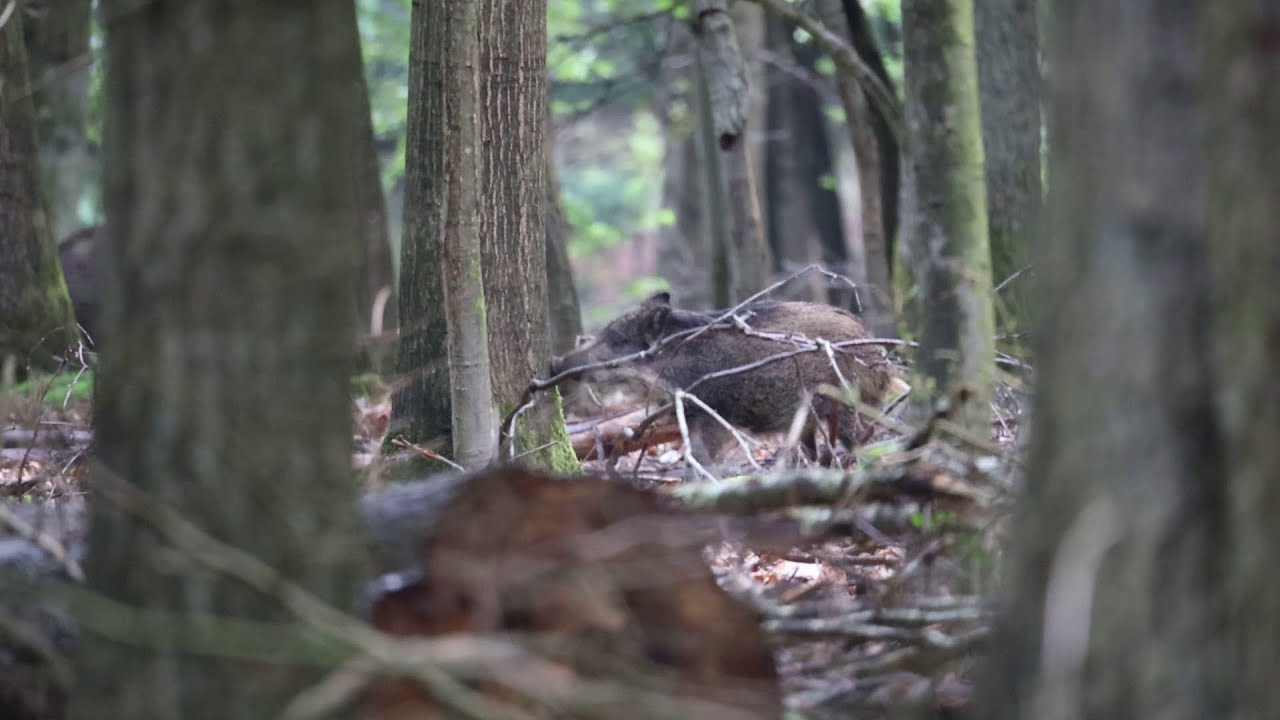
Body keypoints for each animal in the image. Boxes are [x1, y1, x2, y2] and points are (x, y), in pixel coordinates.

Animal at [549, 292, 898, 469]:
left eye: (620, 340)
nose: (555, 362)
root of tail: (875, 346)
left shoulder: (714, 411)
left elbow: (702, 456)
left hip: (851, 400)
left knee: (861, 438)